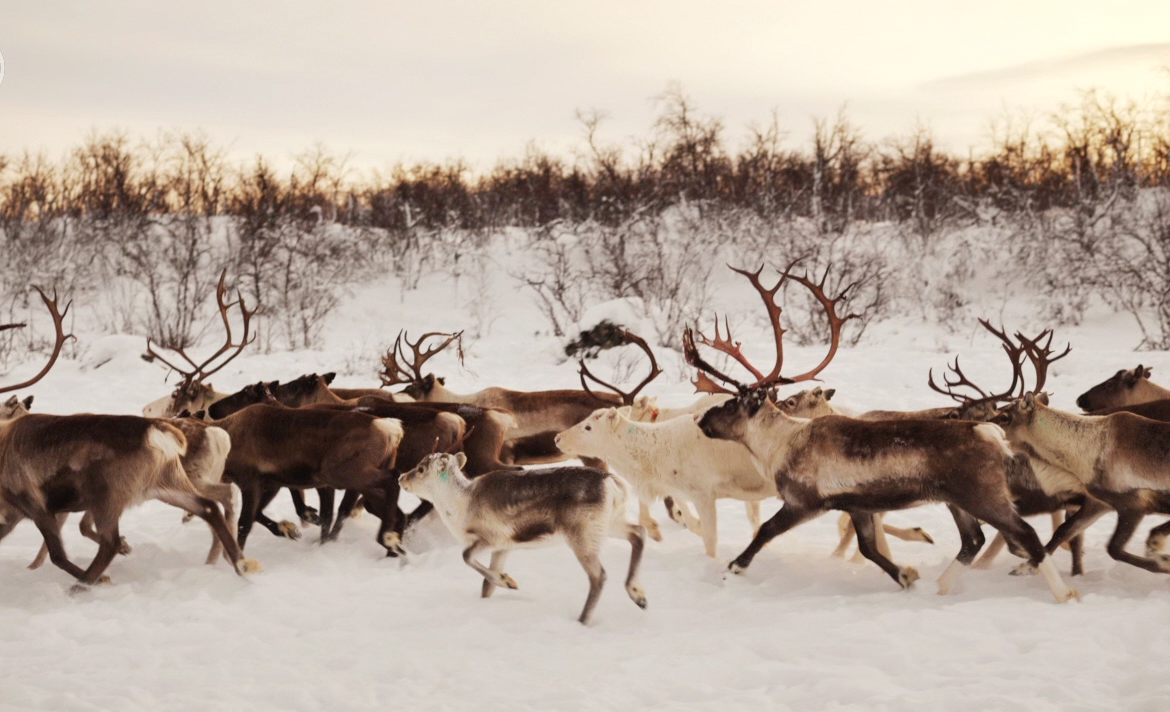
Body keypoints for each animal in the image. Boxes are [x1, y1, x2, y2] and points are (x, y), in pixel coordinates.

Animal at [0, 288, 259, 588]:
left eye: (175, 394)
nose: (147, 407)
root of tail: (215, 433)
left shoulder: (42, 503)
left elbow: (62, 546)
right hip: (166, 484)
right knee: (214, 505)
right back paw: (234, 561)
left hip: (149, 487)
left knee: (221, 498)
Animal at [398, 452, 648, 625]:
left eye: (420, 469)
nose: (401, 478)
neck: (460, 506)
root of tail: (614, 485)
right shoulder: (504, 547)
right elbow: (486, 585)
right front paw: (500, 584)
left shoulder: (492, 538)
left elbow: (466, 556)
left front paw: (508, 581)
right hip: (610, 524)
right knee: (639, 533)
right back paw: (638, 594)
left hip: (582, 535)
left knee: (599, 575)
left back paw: (583, 620)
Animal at [687, 270, 1080, 603]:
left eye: (732, 404)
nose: (701, 419)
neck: (779, 443)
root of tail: (989, 430)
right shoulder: (857, 505)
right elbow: (868, 548)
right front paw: (907, 575)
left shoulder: (804, 501)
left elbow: (765, 531)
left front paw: (734, 568)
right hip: (957, 500)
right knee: (974, 540)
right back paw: (940, 586)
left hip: (983, 495)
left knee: (1024, 534)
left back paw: (1063, 594)